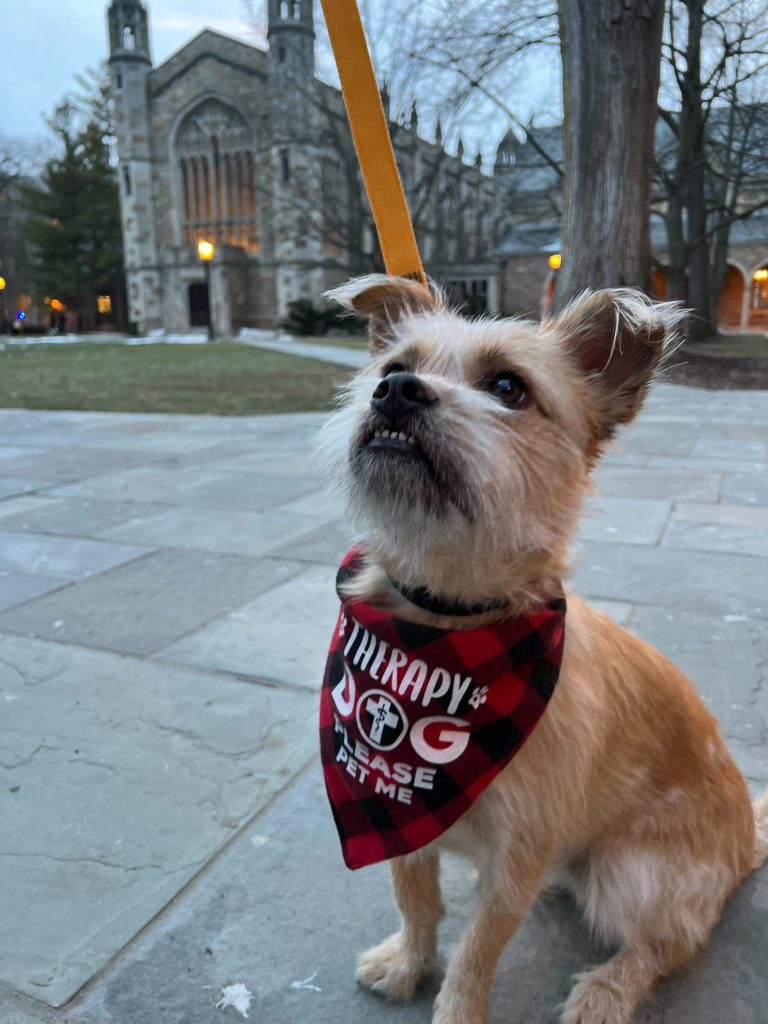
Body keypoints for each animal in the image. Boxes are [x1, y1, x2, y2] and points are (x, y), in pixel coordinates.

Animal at [317, 274, 768, 1024]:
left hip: (632, 872)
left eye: (508, 387)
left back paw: (607, 990)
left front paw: (455, 1010)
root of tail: (744, 844)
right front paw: (408, 963)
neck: (444, 622)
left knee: (668, 944)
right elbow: (415, 899)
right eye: (392, 366)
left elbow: (477, 950)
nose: (396, 390)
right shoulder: (394, 814)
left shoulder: (516, 857)